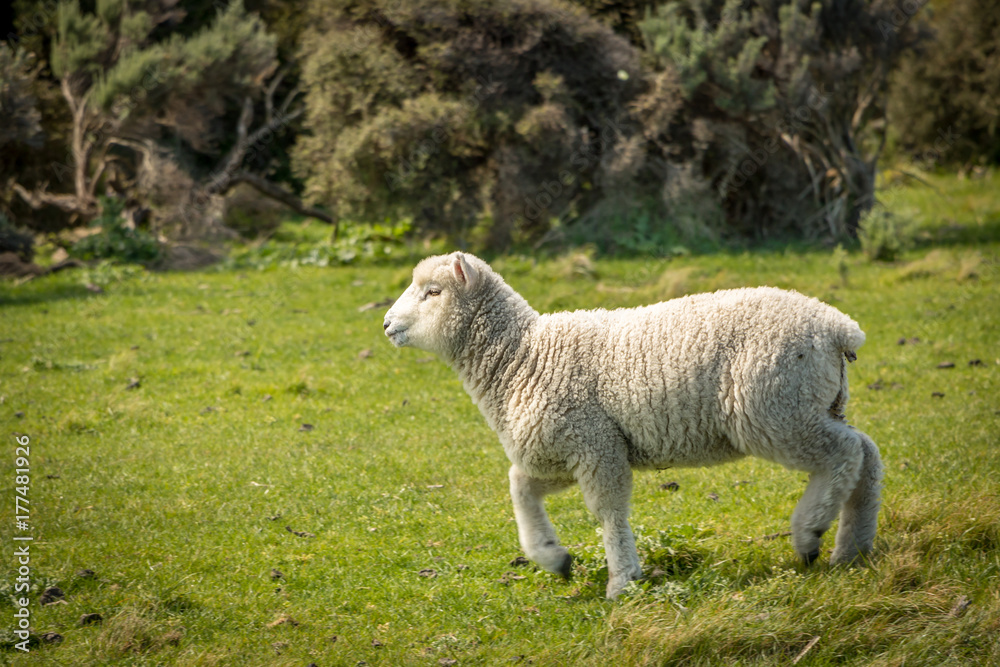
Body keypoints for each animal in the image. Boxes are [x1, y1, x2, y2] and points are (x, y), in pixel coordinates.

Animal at [383, 252, 883, 598]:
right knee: (866, 456)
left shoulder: (594, 444)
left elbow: (609, 513)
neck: (523, 356)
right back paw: (851, 549)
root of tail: (837, 326)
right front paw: (552, 557)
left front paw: (622, 580)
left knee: (846, 455)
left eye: (433, 292)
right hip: (815, 404)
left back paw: (810, 533)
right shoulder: (562, 450)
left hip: (775, 408)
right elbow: (519, 486)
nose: (387, 324)